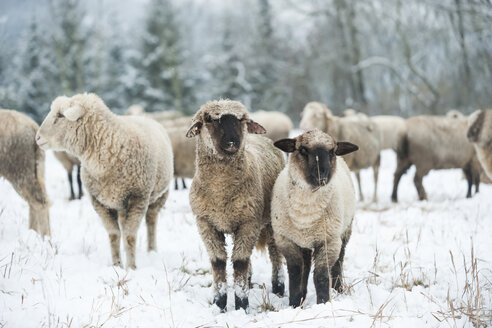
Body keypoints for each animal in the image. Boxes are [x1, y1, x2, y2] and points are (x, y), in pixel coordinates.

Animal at [36, 92, 173, 270]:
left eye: (60, 115)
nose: (37, 138)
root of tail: (144, 117)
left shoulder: (138, 198)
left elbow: (130, 235)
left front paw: (131, 267)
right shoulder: (100, 202)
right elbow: (114, 234)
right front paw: (117, 265)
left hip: (159, 195)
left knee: (151, 221)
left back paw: (151, 250)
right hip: (120, 203)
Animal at [185, 98, 286, 312]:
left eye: (242, 120)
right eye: (208, 119)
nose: (232, 142)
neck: (221, 191)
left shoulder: (249, 222)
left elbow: (239, 261)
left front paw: (241, 304)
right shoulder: (206, 223)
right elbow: (218, 261)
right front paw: (220, 303)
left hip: (271, 220)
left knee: (274, 252)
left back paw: (279, 287)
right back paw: (249, 281)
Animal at [270, 129, 360, 308]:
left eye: (332, 151)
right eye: (302, 150)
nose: (321, 175)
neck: (305, 214)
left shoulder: (328, 241)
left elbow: (321, 275)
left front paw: (323, 303)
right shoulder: (286, 240)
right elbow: (296, 272)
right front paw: (294, 303)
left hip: (344, 232)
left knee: (338, 262)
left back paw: (338, 289)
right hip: (304, 242)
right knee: (305, 266)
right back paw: (303, 295)